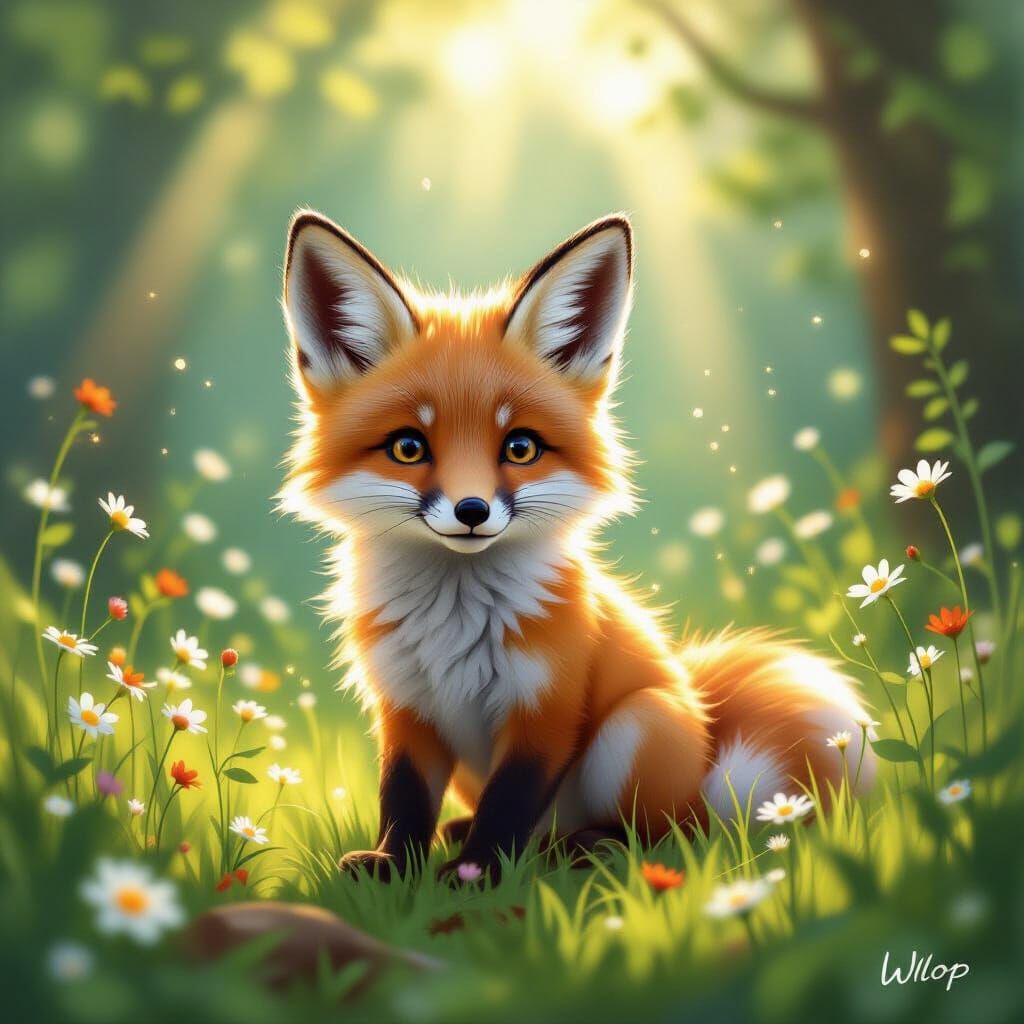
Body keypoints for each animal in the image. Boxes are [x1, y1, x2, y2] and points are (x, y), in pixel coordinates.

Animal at [279, 210, 875, 882]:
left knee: (667, 834)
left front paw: (476, 874)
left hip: (637, 726)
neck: (453, 625)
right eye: (409, 447)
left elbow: (509, 802)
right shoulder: (406, 709)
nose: (471, 511)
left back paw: (587, 848)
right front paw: (395, 865)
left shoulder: (548, 708)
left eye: (520, 448)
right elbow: (404, 799)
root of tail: (704, 748)